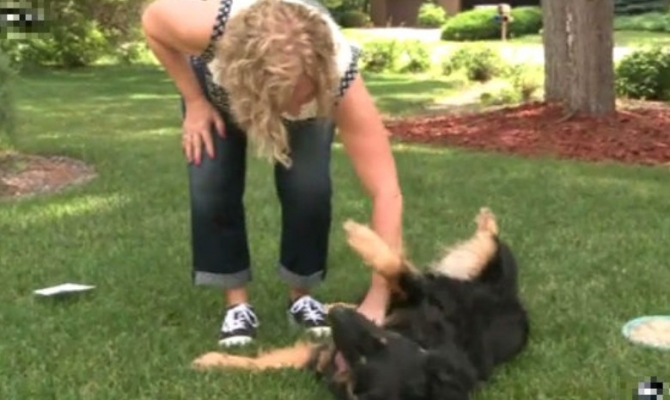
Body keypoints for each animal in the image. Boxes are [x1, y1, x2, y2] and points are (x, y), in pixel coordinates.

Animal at [192, 207, 530, 400]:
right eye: (381, 340)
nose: (340, 317)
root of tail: (511, 296)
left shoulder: (323, 354)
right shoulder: (414, 293)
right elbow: (393, 264)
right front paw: (216, 361)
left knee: (492, 246)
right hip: (482, 268)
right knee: (492, 245)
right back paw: (487, 222)